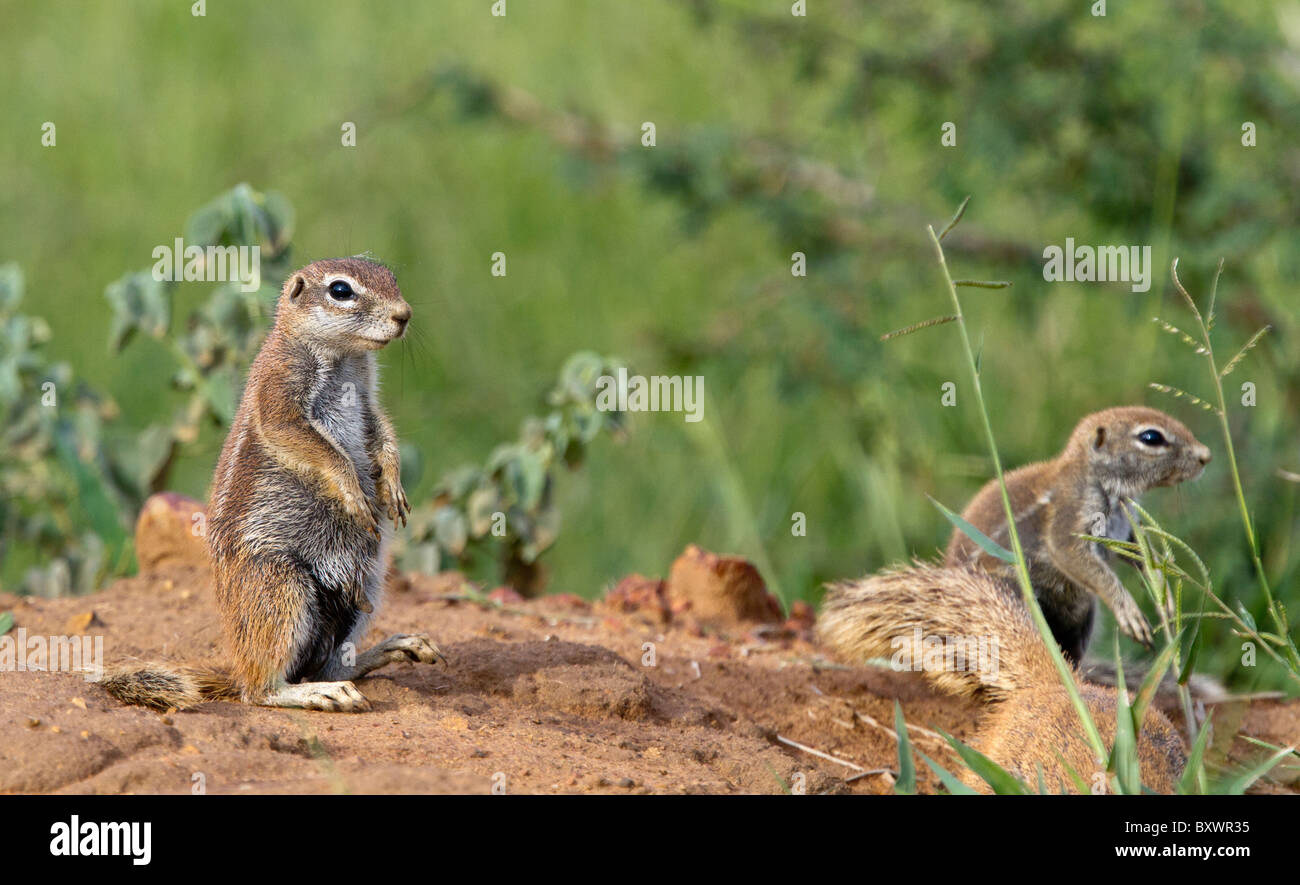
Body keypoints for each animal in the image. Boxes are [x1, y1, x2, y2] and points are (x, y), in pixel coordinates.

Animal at [101, 256, 447, 712]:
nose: (404, 315)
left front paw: (392, 485)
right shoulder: (279, 392)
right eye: (341, 290)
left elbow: (383, 433)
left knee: (327, 663)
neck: (344, 358)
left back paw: (390, 649)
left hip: (367, 587)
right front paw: (353, 492)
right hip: (279, 587)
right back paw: (318, 692)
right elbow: (318, 447)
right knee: (262, 689)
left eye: (391, 276)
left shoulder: (369, 401)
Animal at [946, 408, 1206, 662]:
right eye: (1151, 437)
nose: (1206, 455)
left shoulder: (1125, 528)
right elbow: (1075, 557)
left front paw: (1163, 593)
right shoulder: (1071, 516)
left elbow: (1142, 554)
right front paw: (1130, 614)